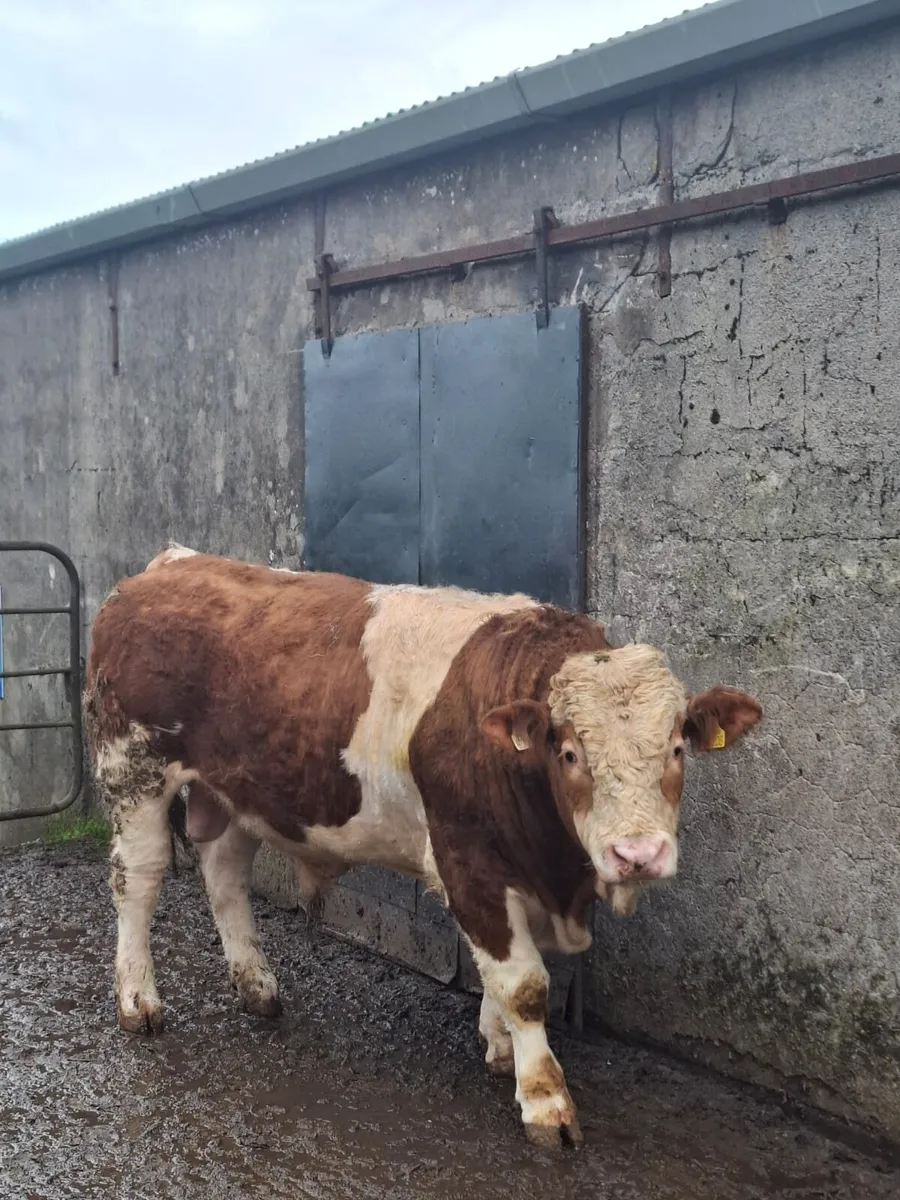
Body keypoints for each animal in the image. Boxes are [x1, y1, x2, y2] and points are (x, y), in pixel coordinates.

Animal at [83, 547, 761, 1149]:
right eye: (570, 753)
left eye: (678, 747)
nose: (637, 854)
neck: (560, 877)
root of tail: (168, 565)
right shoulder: (467, 863)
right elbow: (525, 983)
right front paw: (545, 1099)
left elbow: (507, 972)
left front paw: (499, 1044)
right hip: (132, 770)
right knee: (137, 881)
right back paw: (138, 1000)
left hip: (233, 790)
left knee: (225, 876)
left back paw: (257, 987)